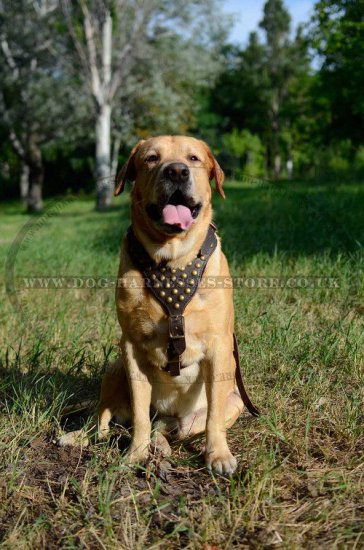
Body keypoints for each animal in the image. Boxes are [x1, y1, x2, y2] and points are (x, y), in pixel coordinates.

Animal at [59, 137, 247, 474]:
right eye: (151, 158)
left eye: (193, 158)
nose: (176, 171)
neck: (171, 259)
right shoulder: (131, 347)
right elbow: (139, 415)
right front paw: (136, 453)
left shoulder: (220, 347)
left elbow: (213, 416)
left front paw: (218, 455)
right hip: (115, 368)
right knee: (106, 418)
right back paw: (84, 436)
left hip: (231, 400)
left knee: (175, 428)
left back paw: (163, 443)